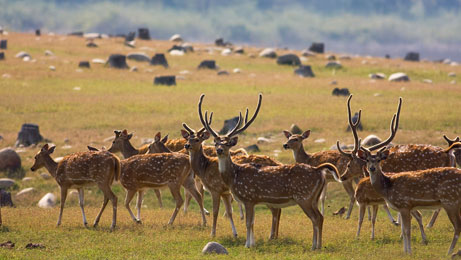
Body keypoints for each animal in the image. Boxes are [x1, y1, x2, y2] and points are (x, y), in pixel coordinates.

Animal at [197, 92, 338, 249]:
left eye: (228, 143)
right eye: (216, 143)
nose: (220, 150)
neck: (233, 177)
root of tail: (318, 170)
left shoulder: (249, 197)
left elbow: (248, 223)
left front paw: (247, 245)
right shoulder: (252, 200)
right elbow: (252, 222)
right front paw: (251, 243)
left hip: (304, 196)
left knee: (316, 218)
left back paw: (315, 246)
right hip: (313, 198)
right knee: (320, 217)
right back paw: (317, 245)